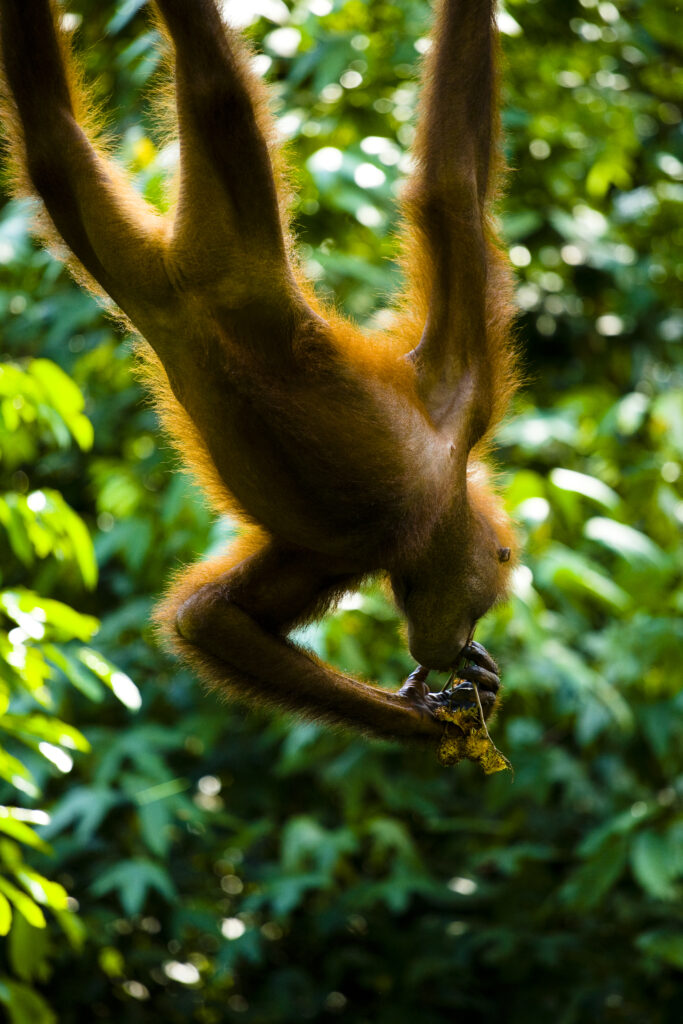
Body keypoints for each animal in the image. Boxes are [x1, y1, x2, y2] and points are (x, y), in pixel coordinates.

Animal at [0, 0, 518, 750]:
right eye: (482, 601)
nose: (460, 641)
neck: (441, 500)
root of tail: (176, 280)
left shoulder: (329, 556)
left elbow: (210, 620)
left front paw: (423, 717)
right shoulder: (461, 395)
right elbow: (454, 187)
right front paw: (436, 714)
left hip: (130, 260)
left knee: (49, 137)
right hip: (245, 254)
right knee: (219, 94)